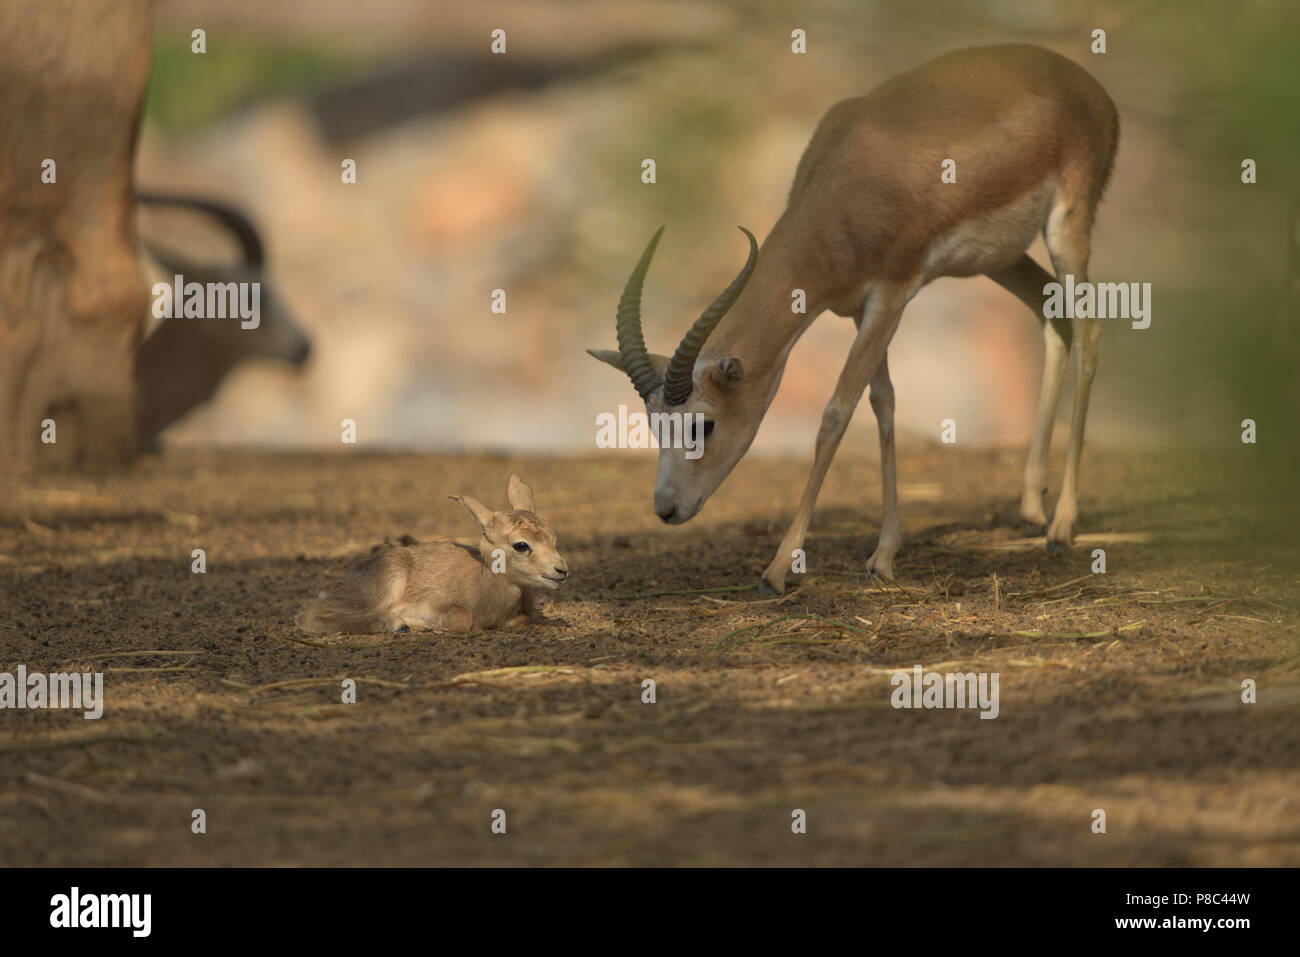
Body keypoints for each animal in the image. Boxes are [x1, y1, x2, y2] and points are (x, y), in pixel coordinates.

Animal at [589, 44, 1119, 593]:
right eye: (655, 425)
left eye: (703, 425)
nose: (666, 510)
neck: (851, 182)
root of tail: (1081, 82)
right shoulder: (858, 309)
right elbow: (882, 403)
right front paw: (884, 554)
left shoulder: (891, 297)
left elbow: (836, 414)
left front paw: (778, 569)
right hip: (1001, 260)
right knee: (1051, 314)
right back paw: (1032, 507)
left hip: (1066, 228)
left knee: (1089, 328)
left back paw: (1062, 525)